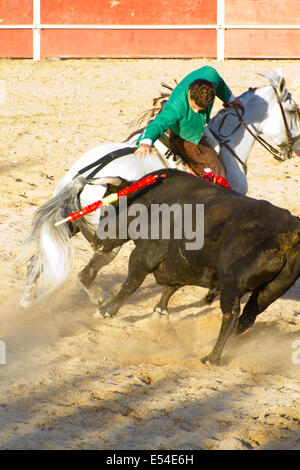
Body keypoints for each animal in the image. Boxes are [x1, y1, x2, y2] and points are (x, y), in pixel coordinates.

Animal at [21, 69, 300, 304]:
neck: (226, 144)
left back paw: (28, 301)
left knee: (40, 263)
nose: (295, 146)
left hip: (73, 226)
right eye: (293, 110)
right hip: (109, 240)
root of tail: (82, 177)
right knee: (85, 274)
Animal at [92, 170, 298, 368]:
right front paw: (160, 313)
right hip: (271, 291)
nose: (95, 243)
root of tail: (290, 228)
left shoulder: (144, 254)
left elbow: (130, 284)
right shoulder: (178, 265)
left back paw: (211, 358)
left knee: (231, 315)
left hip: (233, 285)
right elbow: (169, 288)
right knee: (248, 317)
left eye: (106, 212)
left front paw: (105, 311)